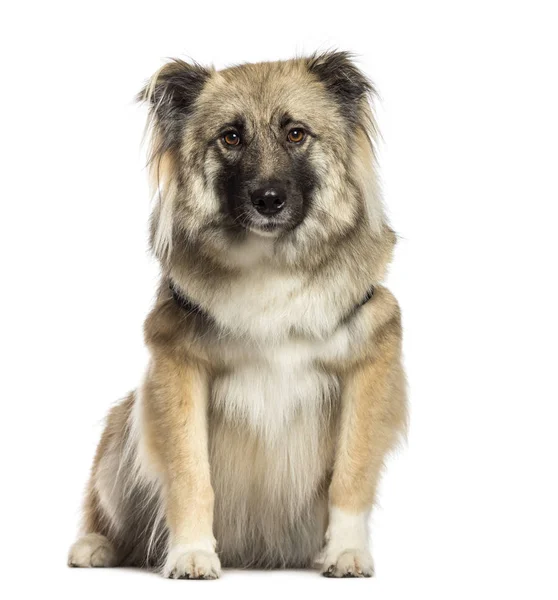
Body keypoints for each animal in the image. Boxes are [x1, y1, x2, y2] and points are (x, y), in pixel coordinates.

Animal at [68, 52, 410, 580]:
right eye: (231, 136)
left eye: (296, 133)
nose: (268, 200)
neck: (271, 261)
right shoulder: (177, 367)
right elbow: (190, 473)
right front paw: (191, 553)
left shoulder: (370, 364)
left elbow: (350, 473)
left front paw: (346, 551)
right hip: (121, 431)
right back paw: (96, 546)